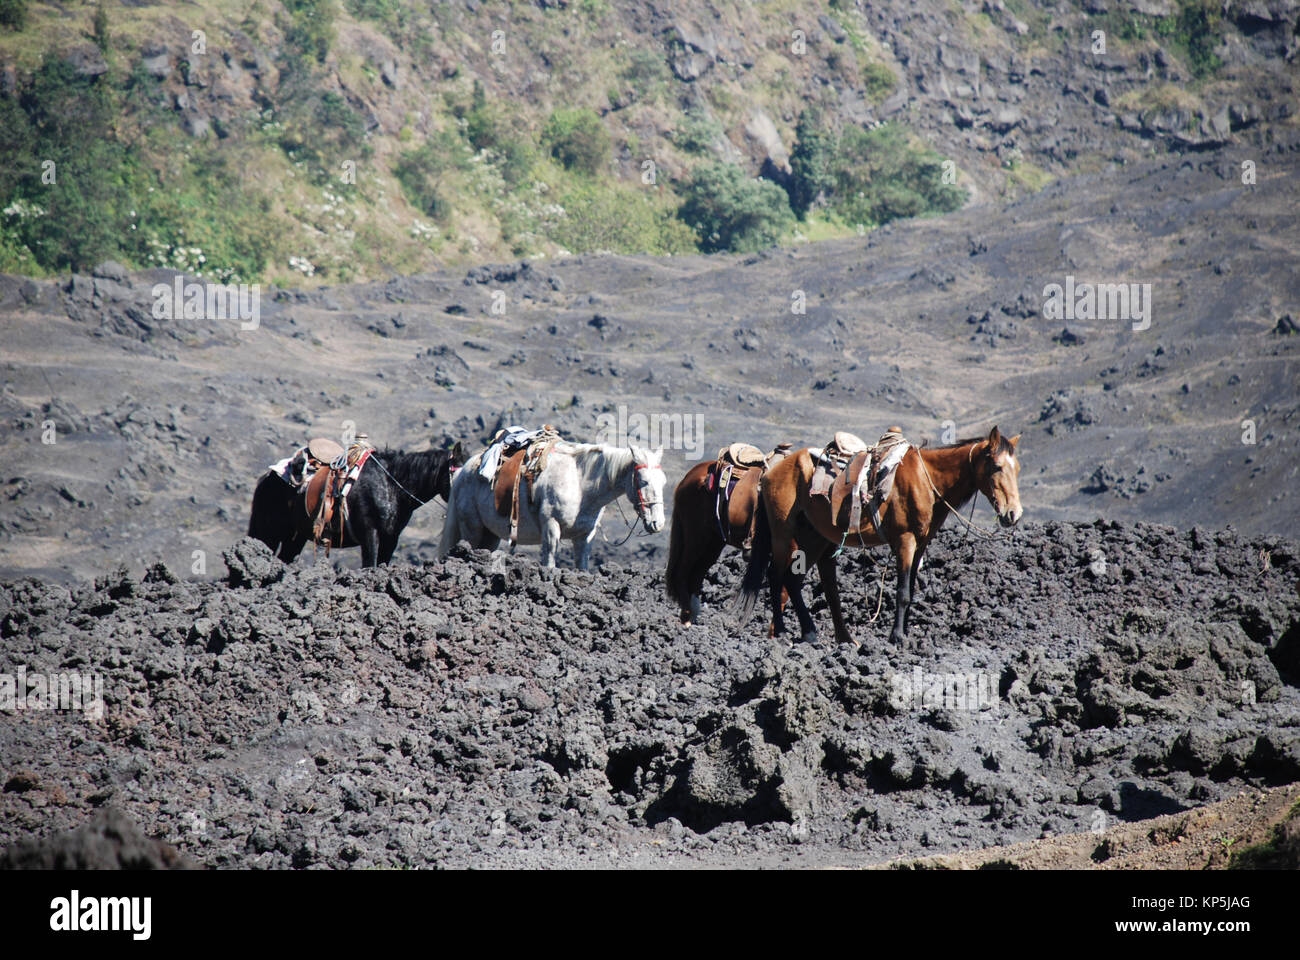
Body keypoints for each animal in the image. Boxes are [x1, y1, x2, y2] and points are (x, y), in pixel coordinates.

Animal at [245, 431, 465, 564]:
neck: (390, 484)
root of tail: (267, 478)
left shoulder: (391, 538)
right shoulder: (370, 533)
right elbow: (371, 565)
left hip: (296, 536)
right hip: (268, 532)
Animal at [436, 442, 665, 567]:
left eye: (663, 482)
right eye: (644, 481)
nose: (658, 523)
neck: (579, 484)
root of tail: (462, 473)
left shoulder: (584, 537)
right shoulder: (551, 529)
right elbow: (550, 564)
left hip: (490, 535)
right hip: (472, 529)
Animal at [738, 429, 1019, 647]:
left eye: (1016, 468)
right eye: (997, 467)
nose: (1013, 514)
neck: (926, 479)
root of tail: (770, 473)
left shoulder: (921, 544)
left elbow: (911, 590)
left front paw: (904, 634)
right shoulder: (905, 541)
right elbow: (903, 592)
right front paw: (897, 638)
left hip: (814, 538)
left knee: (793, 580)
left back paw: (815, 635)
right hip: (783, 535)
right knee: (776, 576)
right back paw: (783, 632)